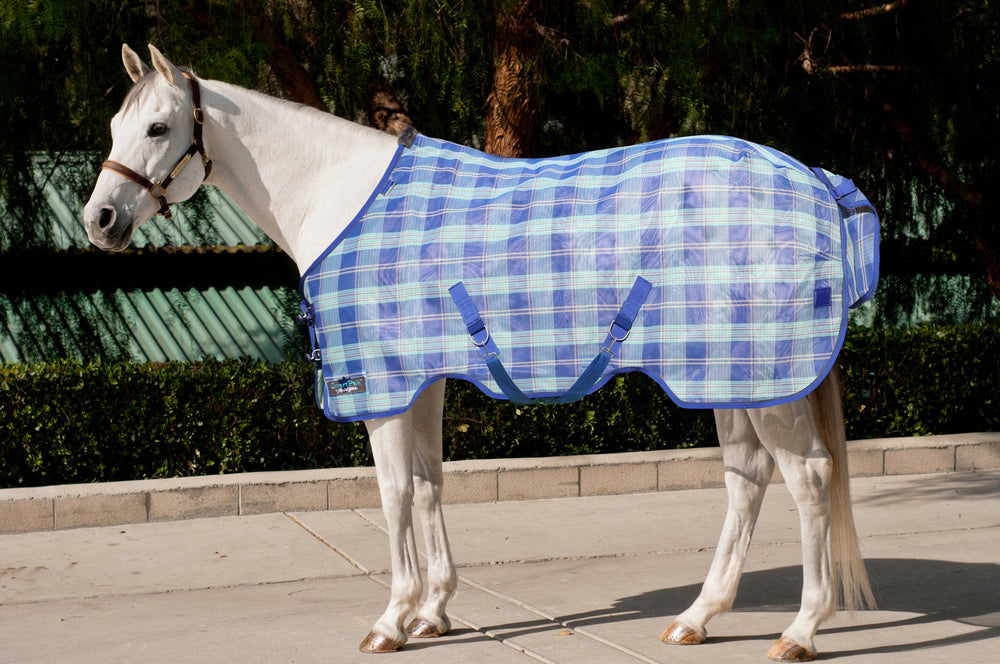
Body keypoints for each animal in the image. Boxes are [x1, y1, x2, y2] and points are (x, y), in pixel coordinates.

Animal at [84, 45, 877, 661]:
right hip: (730, 376)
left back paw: (801, 631)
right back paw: (696, 619)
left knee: (808, 480)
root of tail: (816, 182)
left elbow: (394, 493)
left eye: (158, 125)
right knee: (747, 481)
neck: (342, 200)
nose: (101, 219)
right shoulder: (424, 381)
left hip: (765, 382)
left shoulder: (382, 387)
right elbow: (430, 484)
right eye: (118, 124)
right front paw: (434, 612)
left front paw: (391, 620)